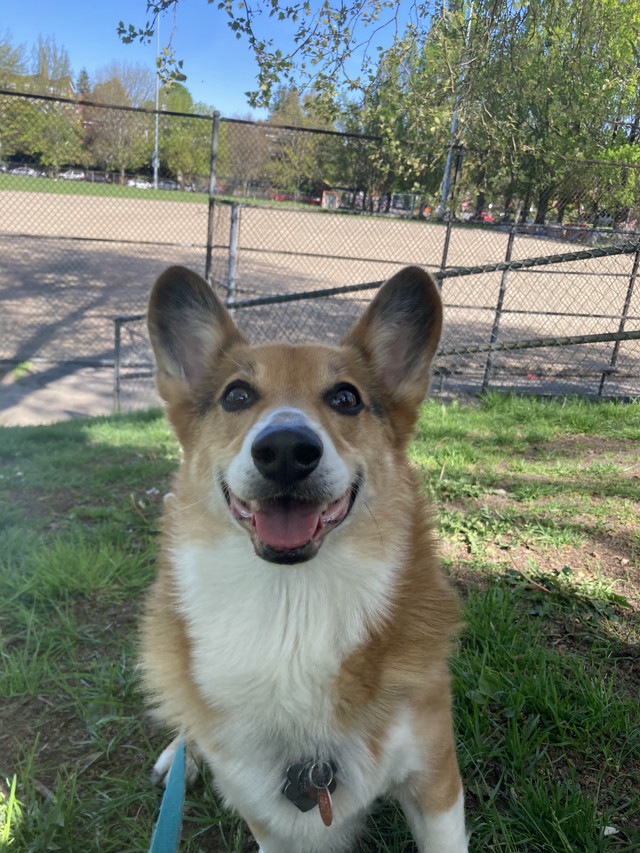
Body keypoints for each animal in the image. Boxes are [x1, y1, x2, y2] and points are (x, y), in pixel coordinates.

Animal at [142, 266, 468, 852]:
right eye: (236, 395)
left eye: (346, 398)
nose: (286, 450)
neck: (290, 604)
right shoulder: (267, 815)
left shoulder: (435, 781)